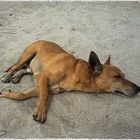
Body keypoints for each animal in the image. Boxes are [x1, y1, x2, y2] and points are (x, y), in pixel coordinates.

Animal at [0, 40, 140, 123]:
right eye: (117, 77)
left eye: (123, 76)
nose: (139, 88)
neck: (77, 72)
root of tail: (40, 39)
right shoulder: (42, 77)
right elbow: (44, 95)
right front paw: (41, 111)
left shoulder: (48, 86)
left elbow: (23, 95)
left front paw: (7, 94)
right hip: (27, 55)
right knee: (15, 66)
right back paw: (7, 75)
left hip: (34, 65)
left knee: (26, 69)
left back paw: (16, 76)